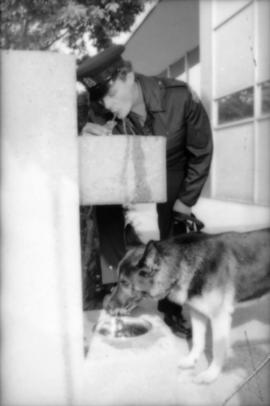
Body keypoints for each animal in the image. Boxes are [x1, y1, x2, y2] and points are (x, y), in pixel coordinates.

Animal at [105, 228, 270, 384]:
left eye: (125, 283)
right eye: (118, 280)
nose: (107, 308)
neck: (183, 266)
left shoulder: (219, 318)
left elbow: (217, 349)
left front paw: (211, 375)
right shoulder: (197, 313)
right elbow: (197, 341)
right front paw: (191, 361)